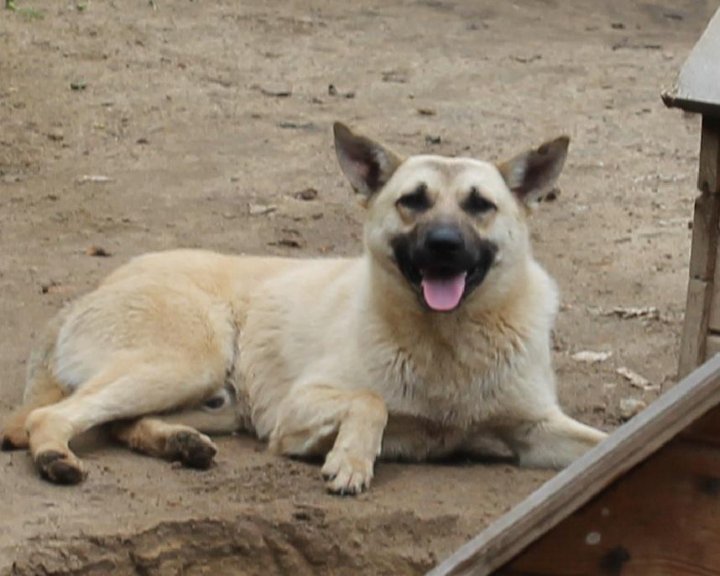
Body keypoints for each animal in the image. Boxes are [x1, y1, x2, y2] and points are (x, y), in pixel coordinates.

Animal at [1, 122, 608, 496]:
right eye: (412, 201)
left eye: (480, 206)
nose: (443, 246)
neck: (448, 342)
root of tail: (92, 291)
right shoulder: (294, 411)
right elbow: (371, 402)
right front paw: (350, 460)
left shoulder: (538, 429)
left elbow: (600, 445)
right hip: (185, 363)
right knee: (48, 417)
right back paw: (55, 456)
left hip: (212, 401)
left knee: (121, 423)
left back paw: (178, 443)